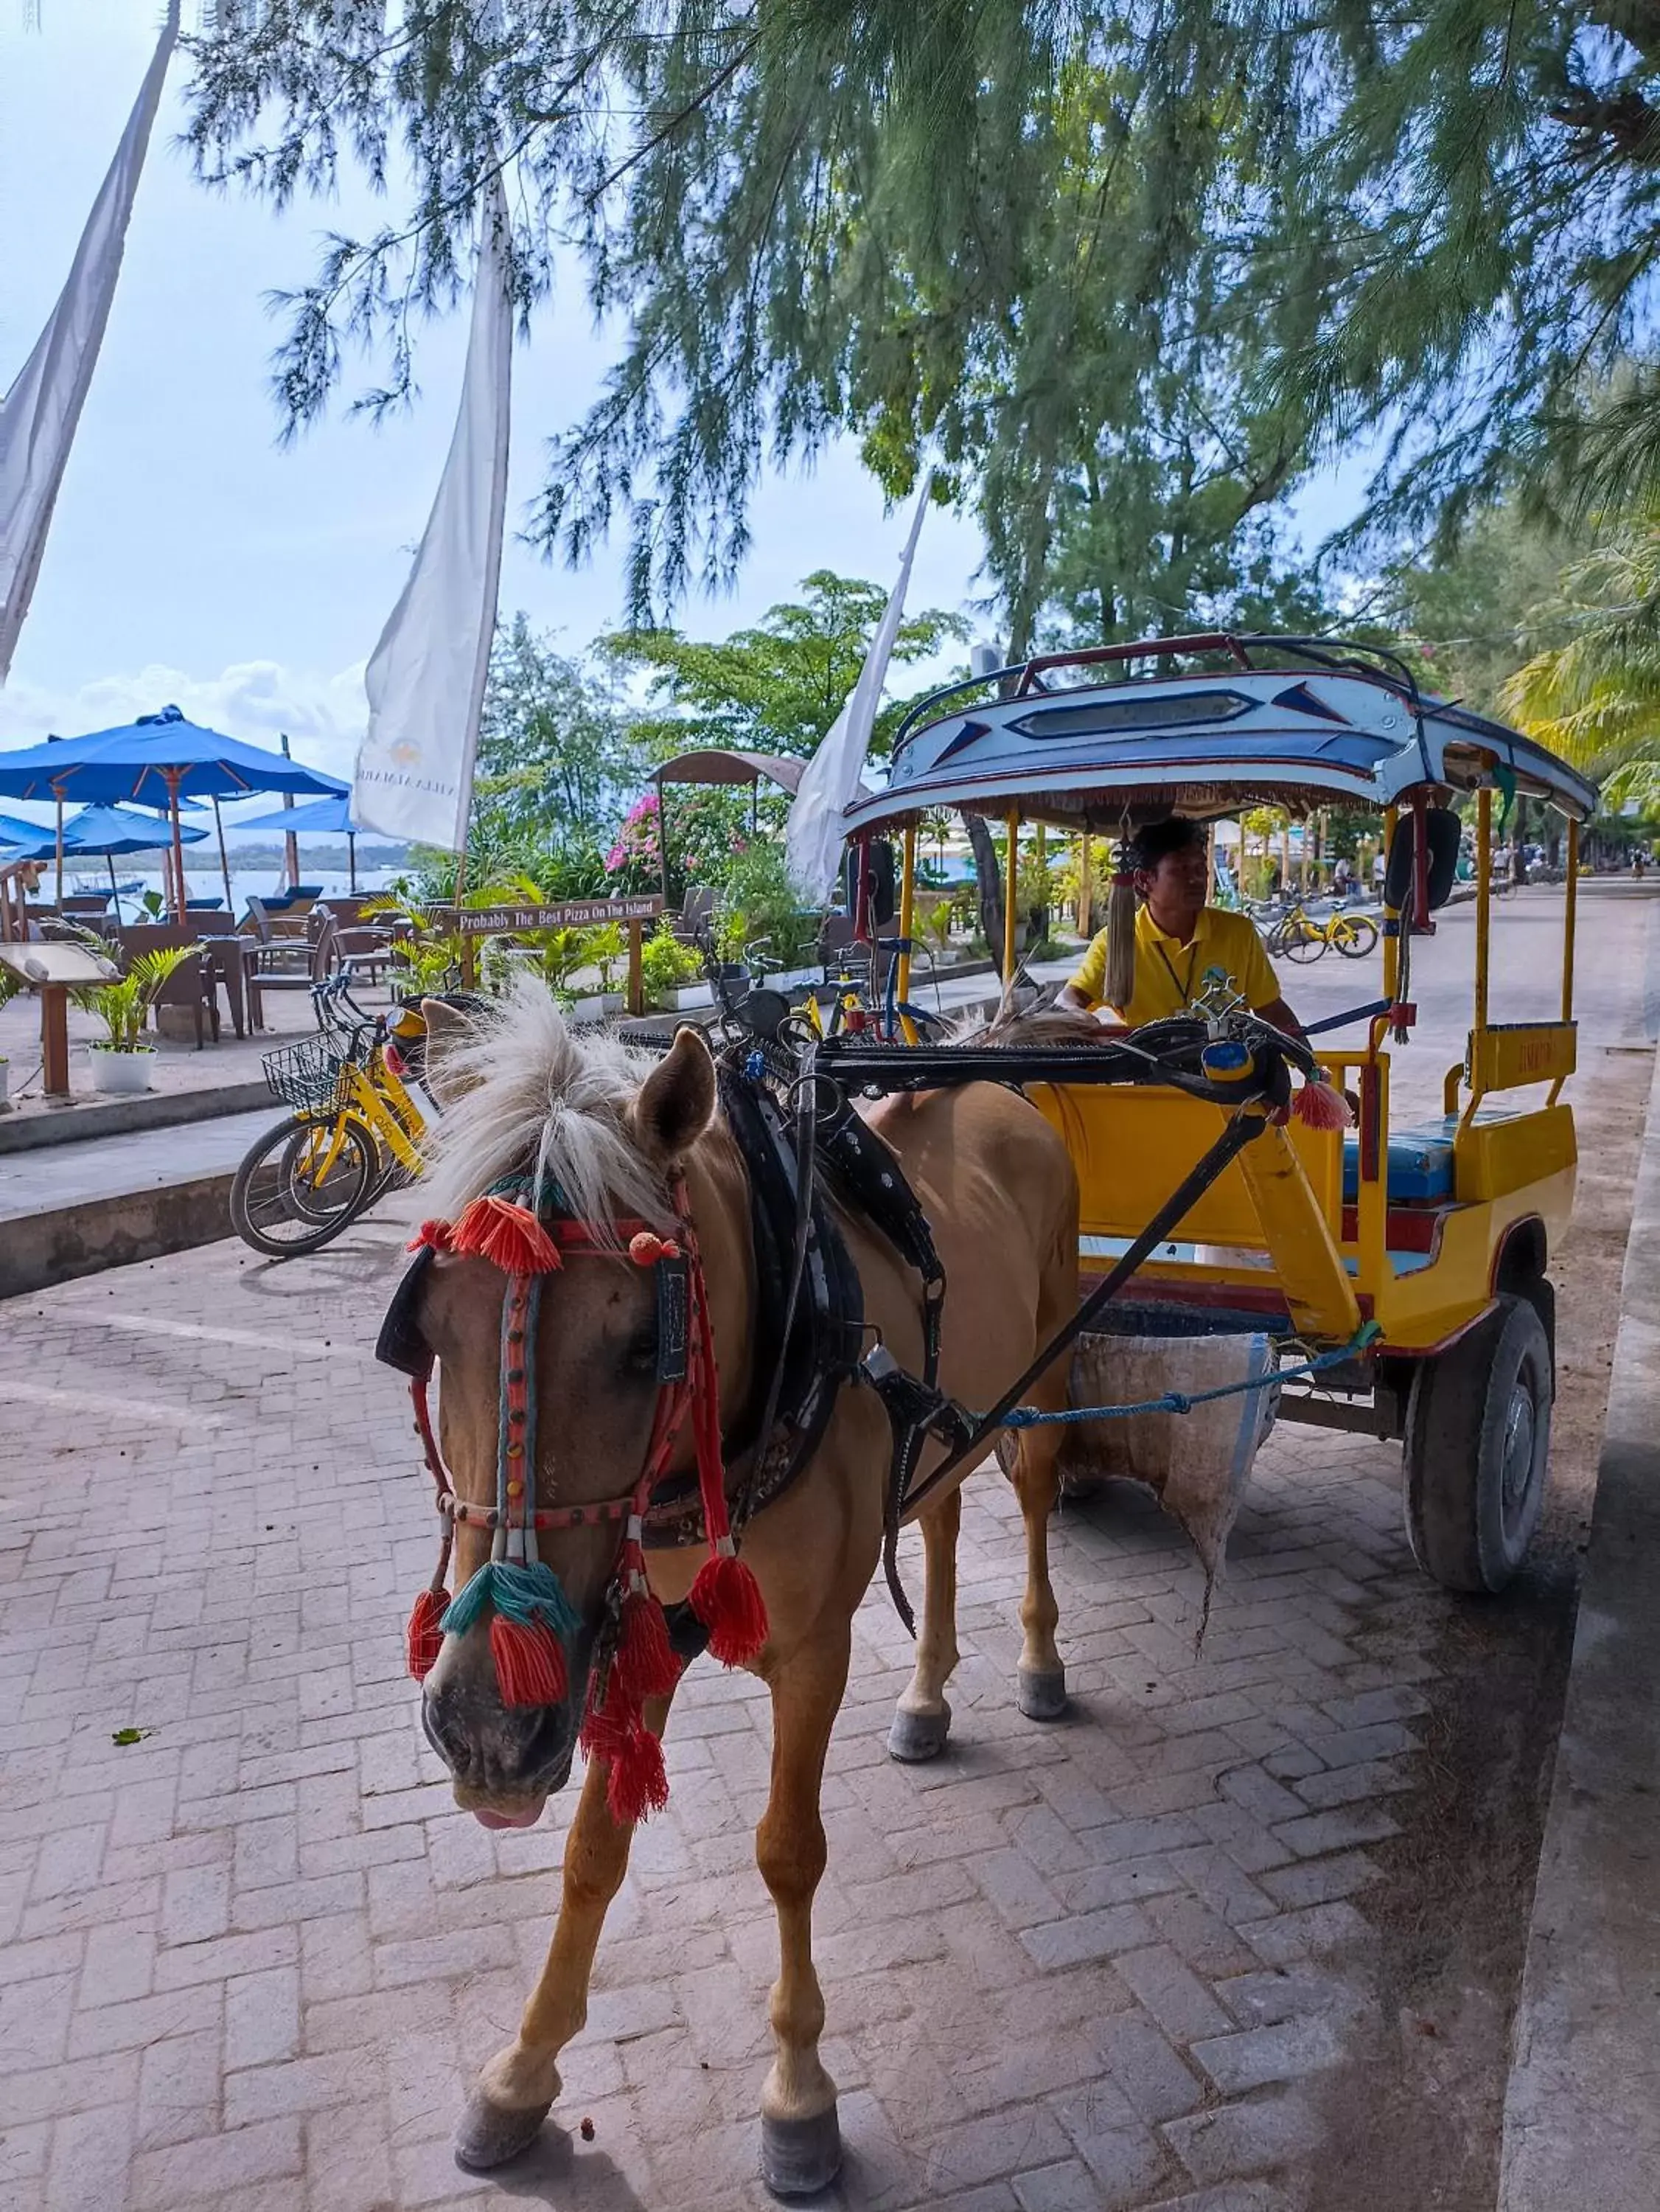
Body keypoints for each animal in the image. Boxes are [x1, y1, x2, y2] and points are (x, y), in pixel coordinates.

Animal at [400, 991, 1078, 2194]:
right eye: (431, 1331)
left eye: (643, 1344)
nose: (485, 1724)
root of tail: (995, 1067)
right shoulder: (631, 1636)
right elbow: (593, 1853)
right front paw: (523, 2068)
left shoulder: (812, 1651)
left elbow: (786, 1851)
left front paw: (800, 2091)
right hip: (948, 1415)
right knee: (940, 1514)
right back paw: (928, 1694)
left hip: (1039, 1365)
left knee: (1036, 1491)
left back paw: (1039, 1663)